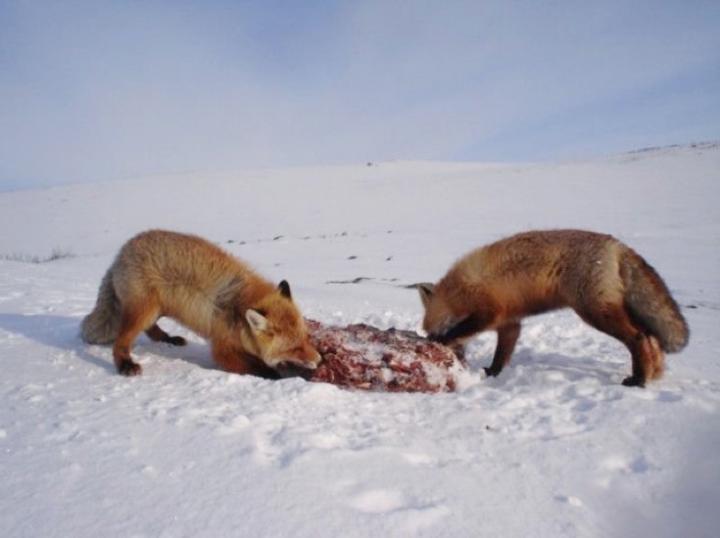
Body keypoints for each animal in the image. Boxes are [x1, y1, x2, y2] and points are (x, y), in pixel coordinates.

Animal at [81, 229, 321, 377]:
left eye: (306, 339)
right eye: (295, 348)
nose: (319, 360)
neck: (237, 310)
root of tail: (120, 253)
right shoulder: (223, 349)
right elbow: (258, 368)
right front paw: (279, 375)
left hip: (158, 308)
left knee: (149, 329)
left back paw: (169, 339)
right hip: (144, 309)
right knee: (120, 342)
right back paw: (125, 364)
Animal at [418, 230, 689, 387]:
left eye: (431, 329)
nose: (429, 342)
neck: (458, 290)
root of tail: (616, 244)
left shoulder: (489, 311)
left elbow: (465, 328)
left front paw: (444, 339)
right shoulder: (509, 322)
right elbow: (502, 354)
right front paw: (493, 373)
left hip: (595, 312)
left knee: (639, 337)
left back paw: (639, 379)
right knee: (651, 337)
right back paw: (654, 374)